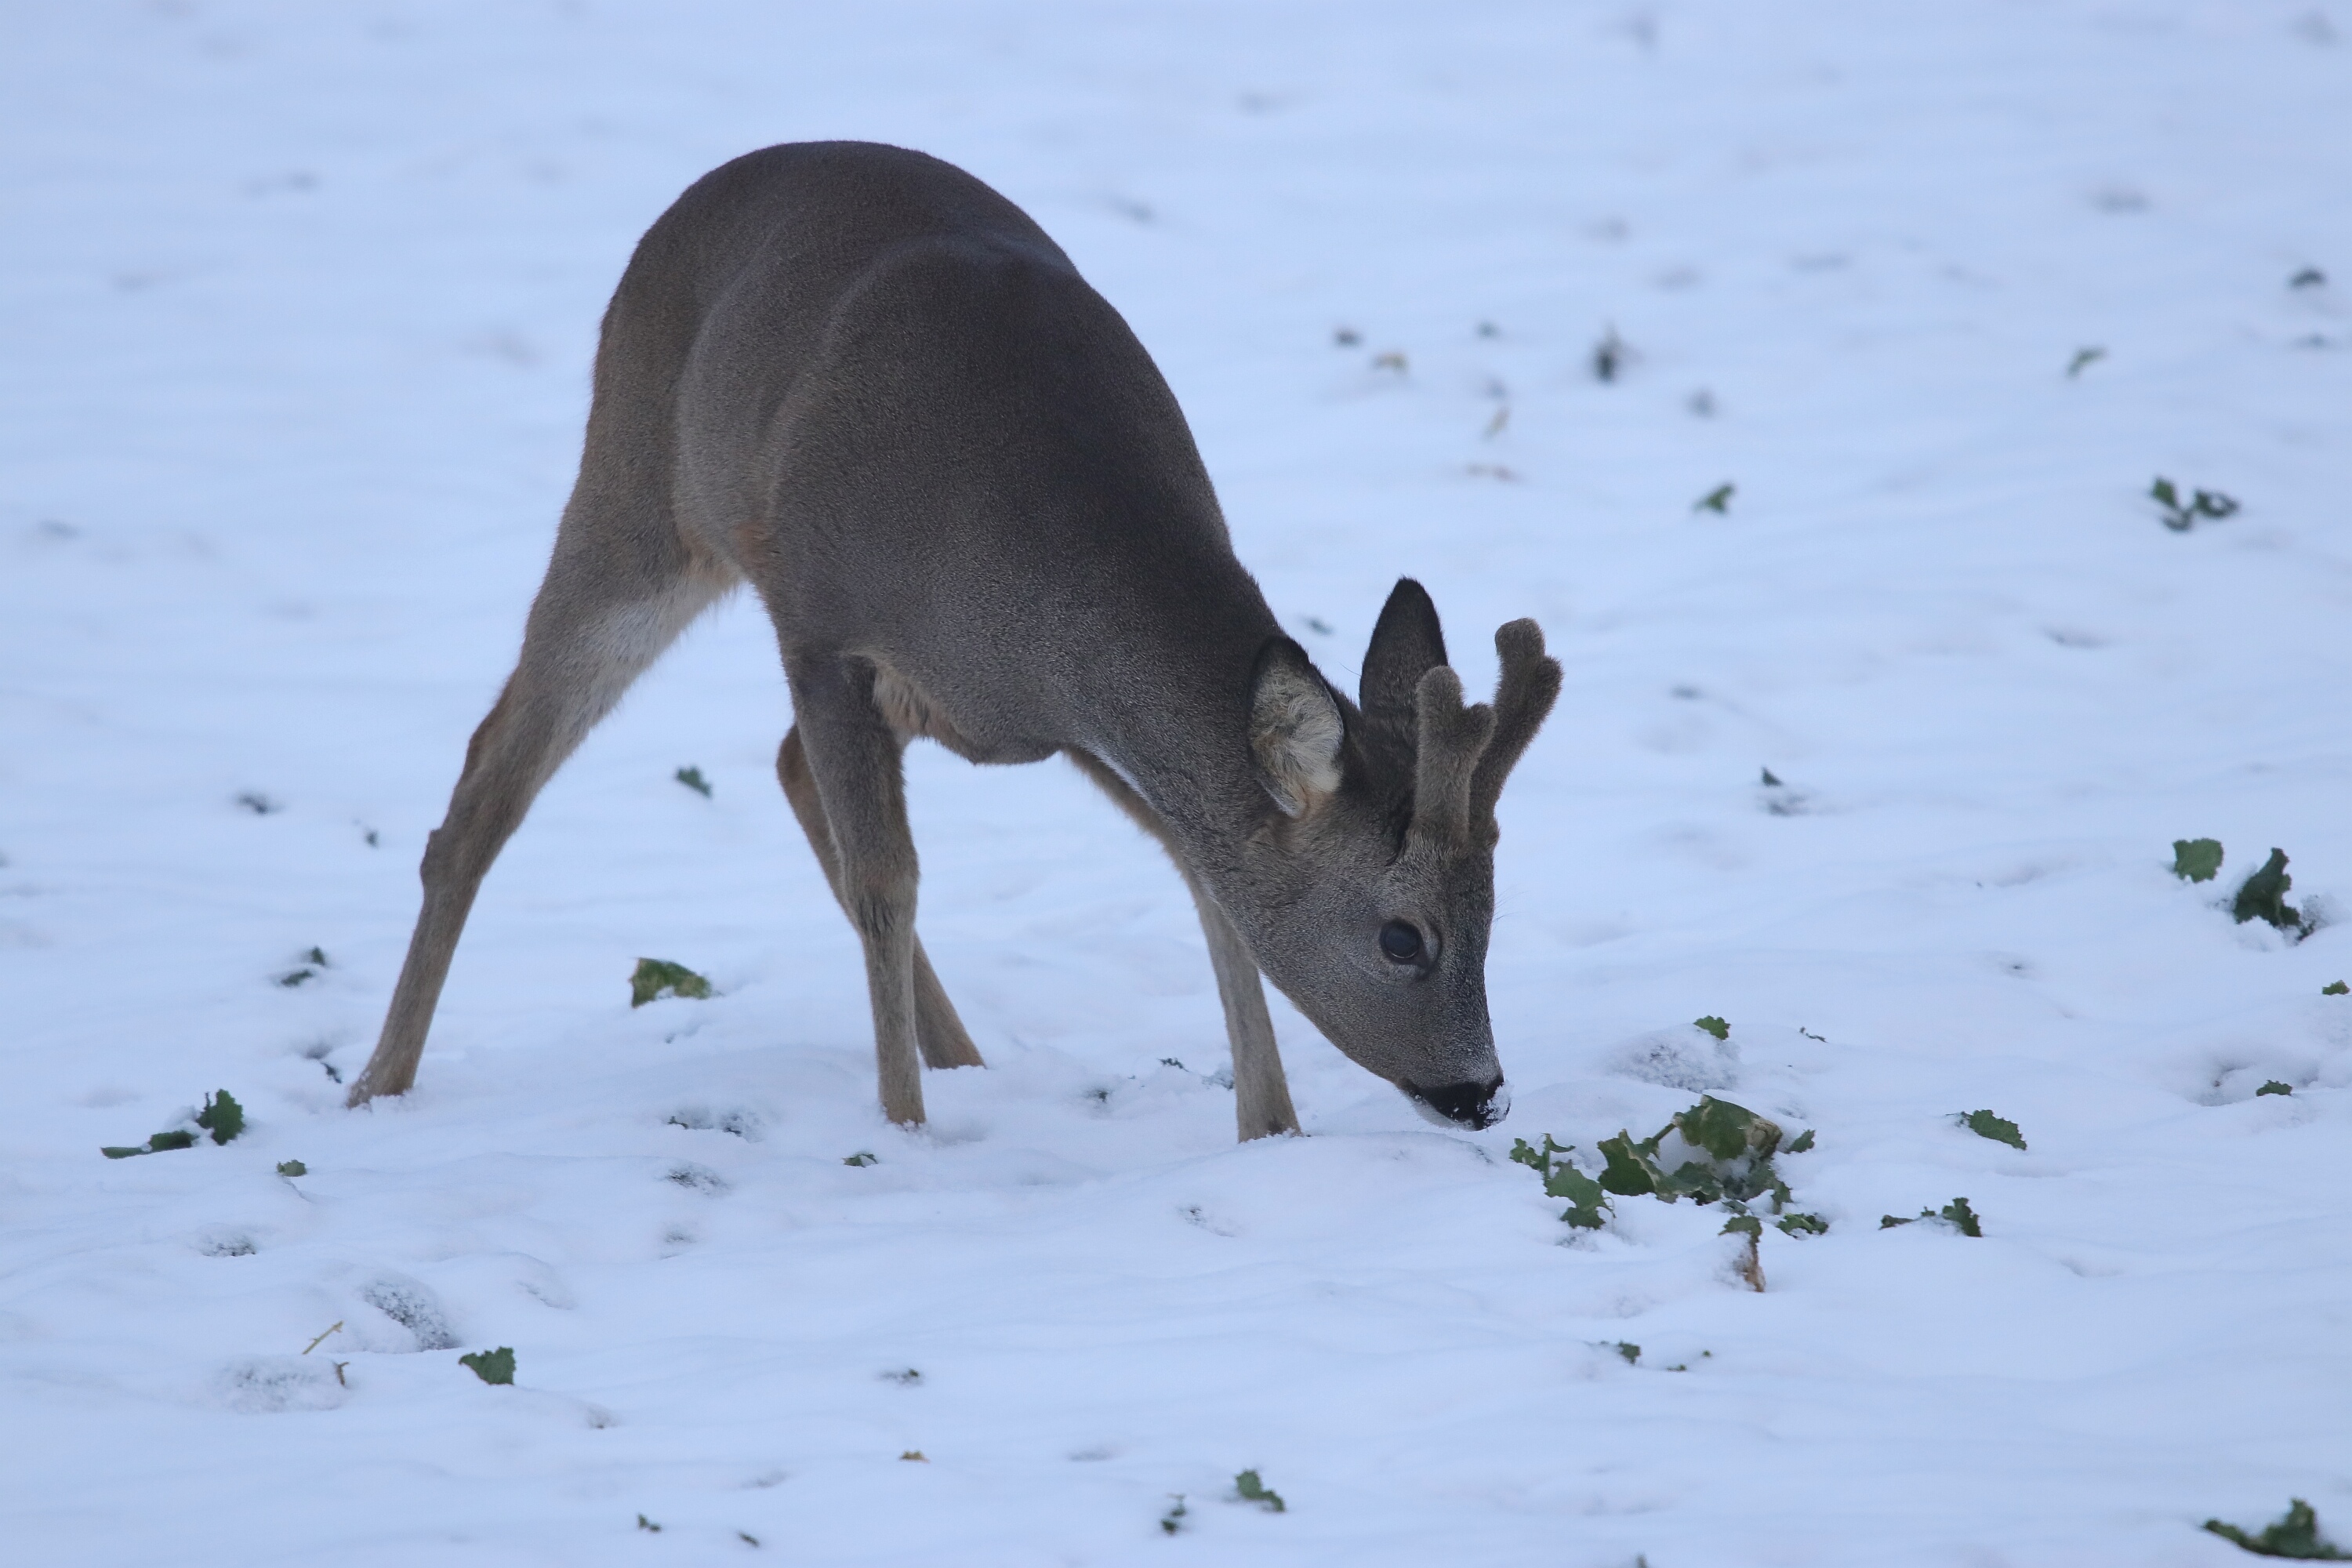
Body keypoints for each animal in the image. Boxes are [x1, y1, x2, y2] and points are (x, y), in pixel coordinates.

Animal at [343, 143, 1562, 1142]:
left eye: (1495, 911)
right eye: (1404, 937)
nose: (1482, 1093)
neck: (1028, 550)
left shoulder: (1059, 714)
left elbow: (1201, 868)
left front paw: (1270, 1131)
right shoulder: (828, 629)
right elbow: (889, 880)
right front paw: (903, 1139)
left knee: (781, 769)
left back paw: (969, 1062)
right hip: (639, 501)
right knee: (491, 778)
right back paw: (377, 1084)